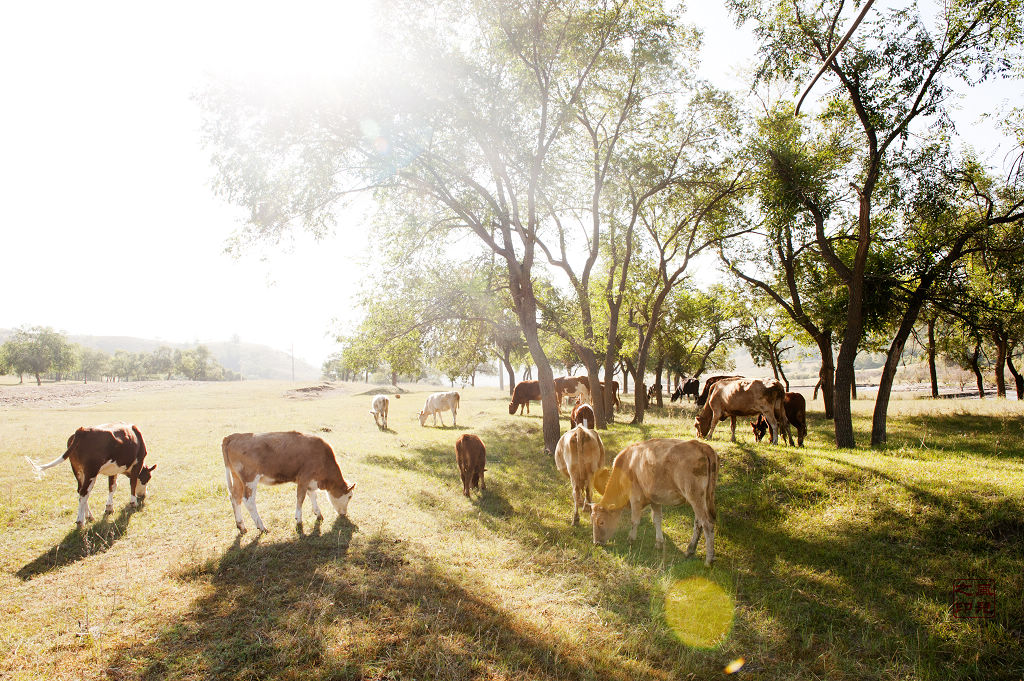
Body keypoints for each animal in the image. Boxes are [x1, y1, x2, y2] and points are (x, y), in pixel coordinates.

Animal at [26, 421, 155, 528]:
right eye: (148, 478)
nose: (143, 495)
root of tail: (83, 430)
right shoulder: (138, 462)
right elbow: (133, 482)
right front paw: (133, 502)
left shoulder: (113, 470)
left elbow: (112, 487)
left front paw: (109, 507)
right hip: (91, 471)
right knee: (84, 492)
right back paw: (80, 521)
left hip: (78, 470)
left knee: (81, 491)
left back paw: (88, 516)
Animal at [221, 430, 356, 532]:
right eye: (349, 496)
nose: (344, 514)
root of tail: (233, 436)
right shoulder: (304, 477)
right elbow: (300, 498)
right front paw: (299, 520)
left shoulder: (310, 481)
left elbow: (312, 495)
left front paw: (318, 514)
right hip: (250, 479)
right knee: (248, 500)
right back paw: (261, 527)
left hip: (237, 478)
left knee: (235, 497)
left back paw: (241, 526)